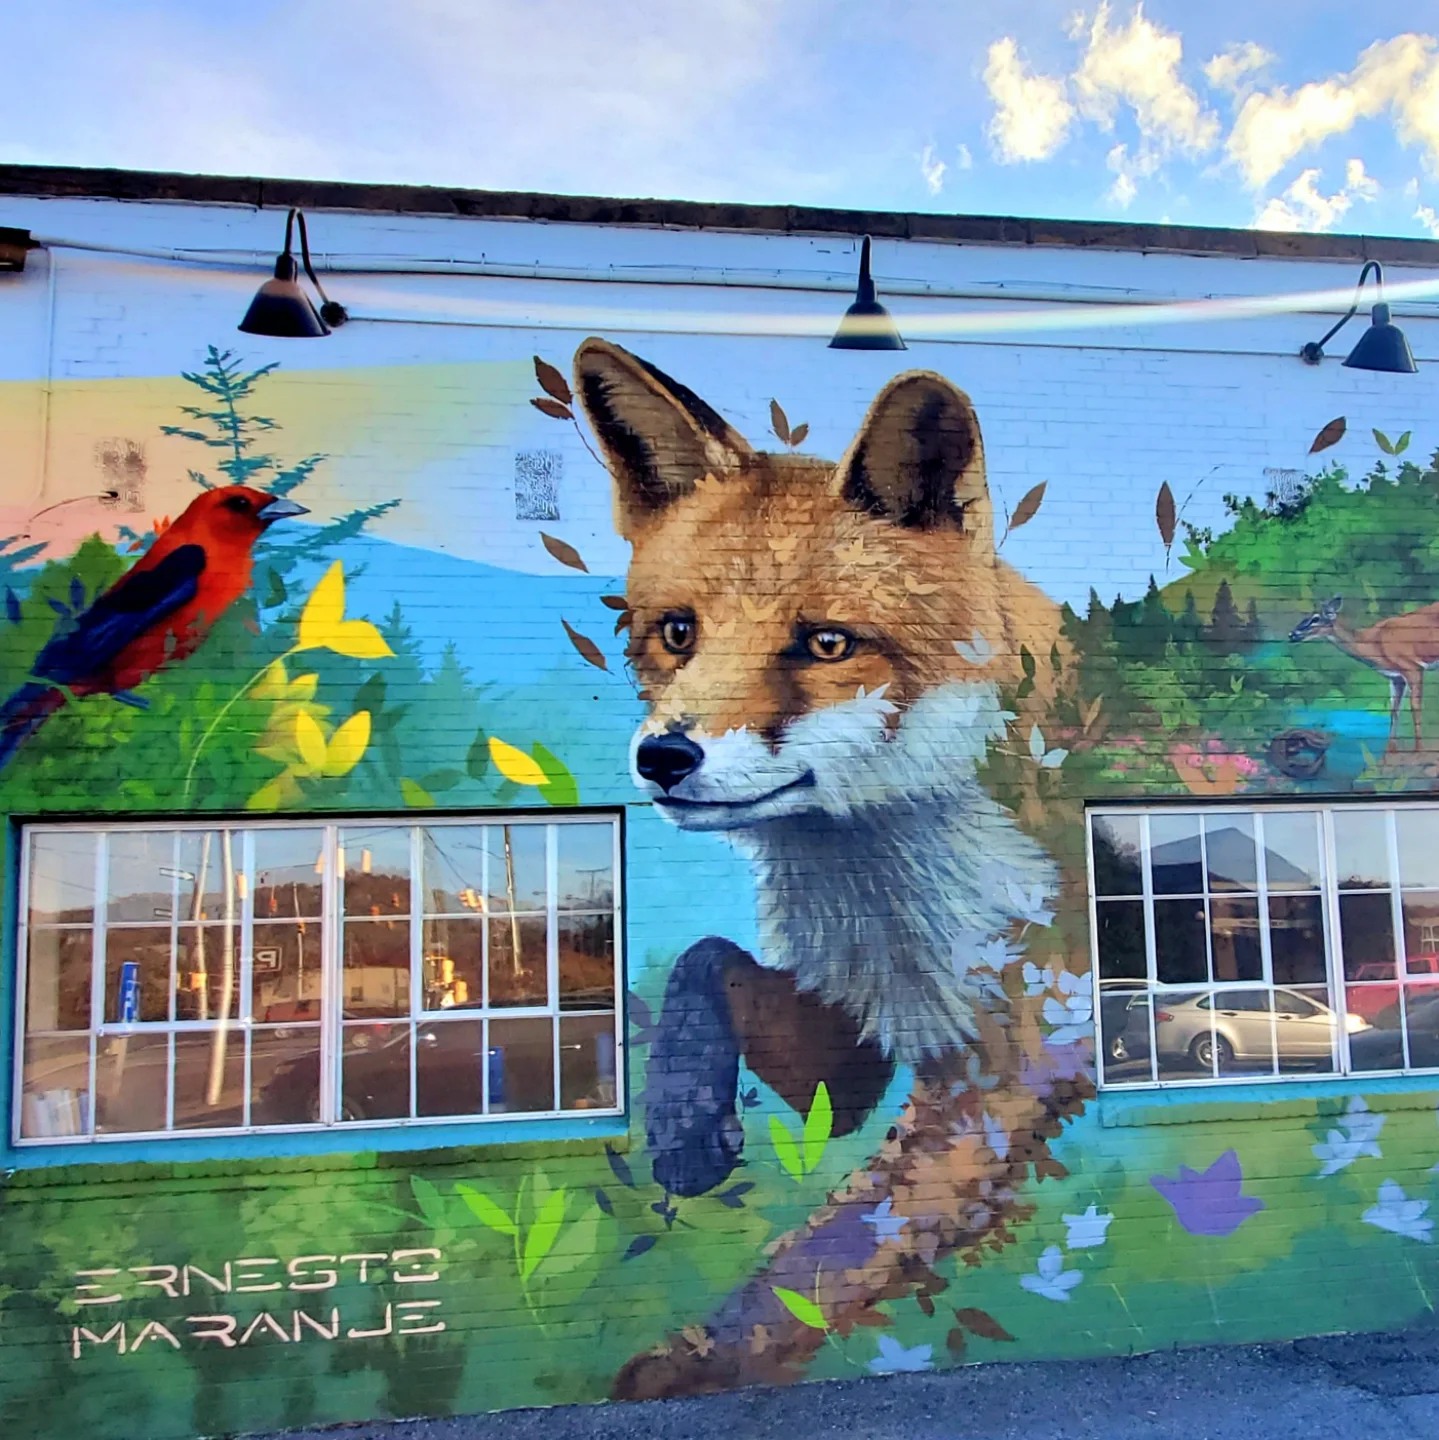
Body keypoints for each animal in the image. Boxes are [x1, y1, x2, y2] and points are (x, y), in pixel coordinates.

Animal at [572, 337, 1067, 1199]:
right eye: (677, 633)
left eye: (828, 643)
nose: (664, 757)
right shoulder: (859, 1037)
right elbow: (708, 960)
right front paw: (683, 1118)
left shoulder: (1018, 1040)